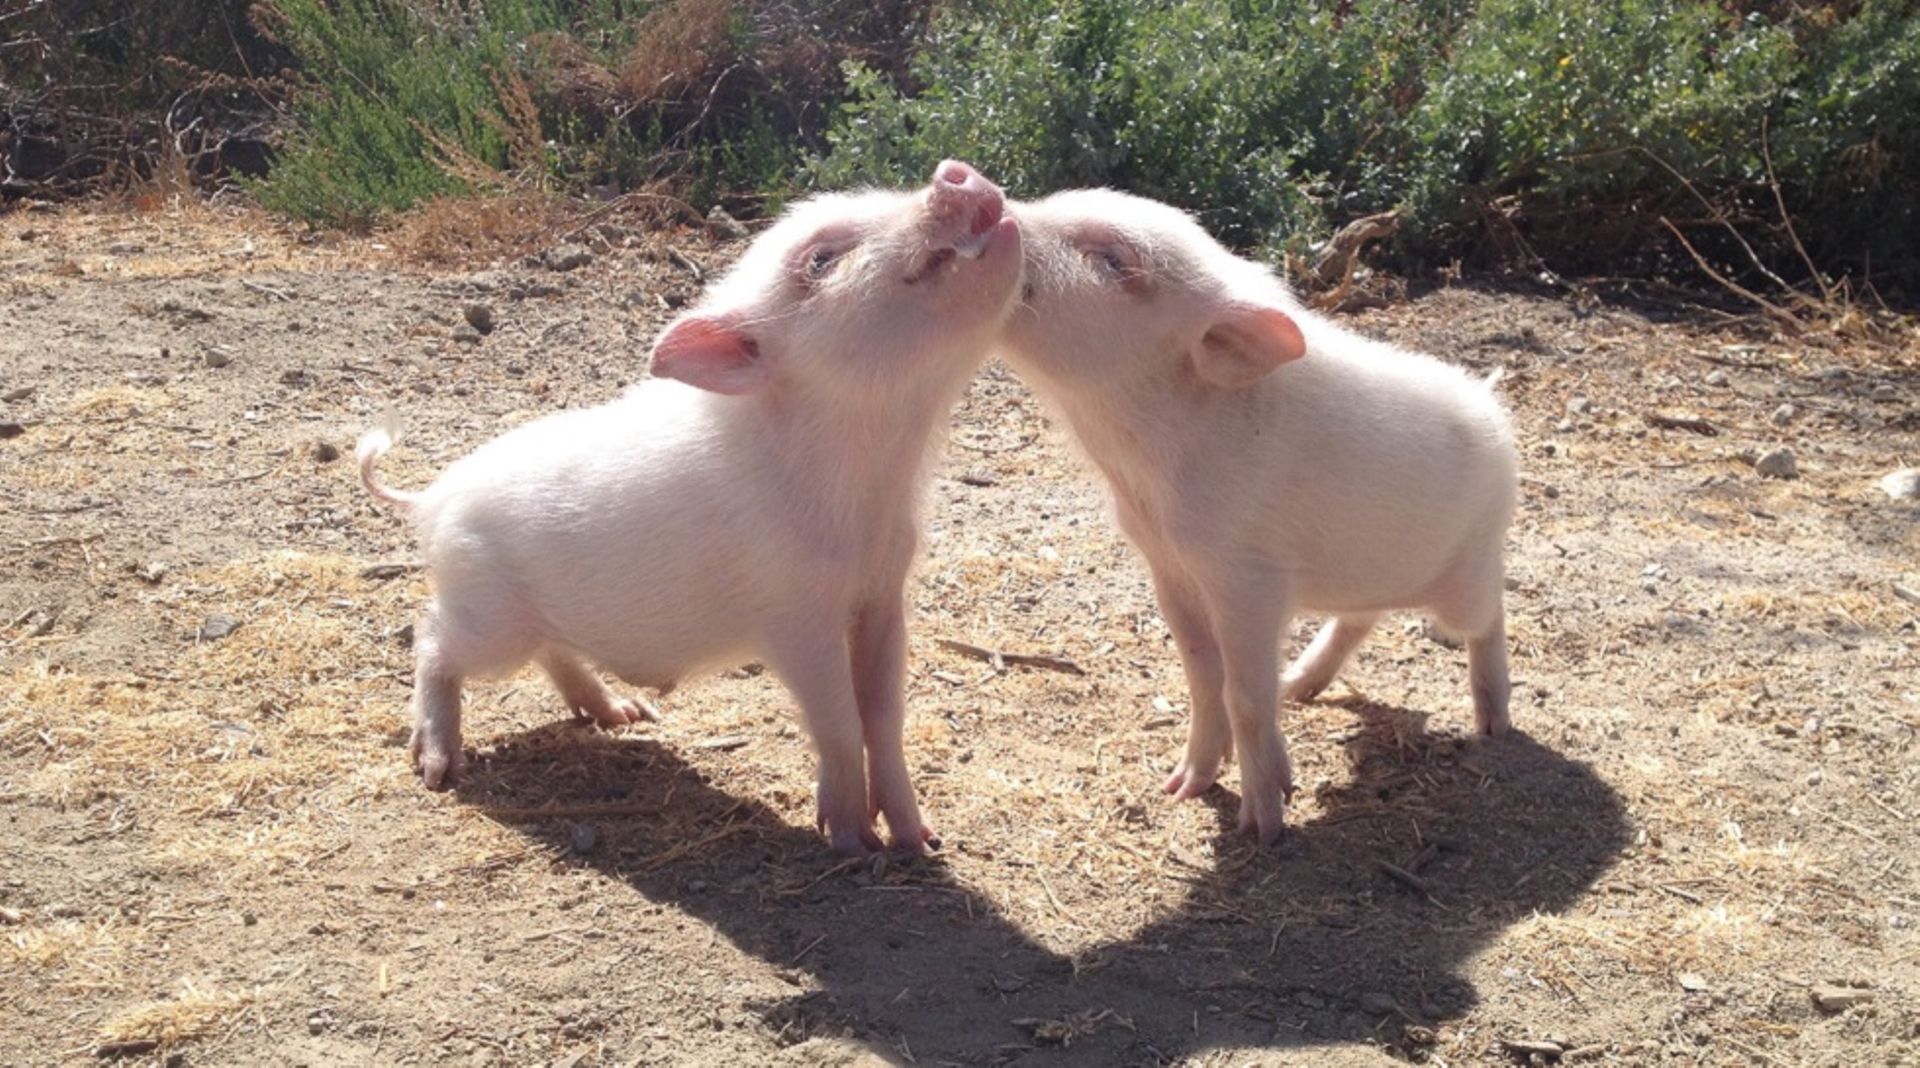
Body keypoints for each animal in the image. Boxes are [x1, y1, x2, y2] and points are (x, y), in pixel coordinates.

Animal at [356, 161, 1023, 854]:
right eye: (819, 259)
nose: (954, 172)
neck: (875, 478)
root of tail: (434, 496)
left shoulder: (883, 592)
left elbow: (885, 715)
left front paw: (921, 842)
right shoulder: (793, 615)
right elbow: (839, 719)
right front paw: (851, 842)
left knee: (552, 653)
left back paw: (627, 716)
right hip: (488, 616)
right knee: (432, 639)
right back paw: (440, 768)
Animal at [997, 189, 1517, 844]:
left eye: (1115, 260)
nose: (981, 193)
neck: (1137, 467)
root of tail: (1492, 403)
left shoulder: (1248, 577)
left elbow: (1244, 696)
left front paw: (1262, 827)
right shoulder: (1168, 564)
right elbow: (1202, 676)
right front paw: (1181, 788)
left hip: (1470, 566)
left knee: (1490, 616)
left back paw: (1493, 727)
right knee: (1361, 618)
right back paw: (1298, 687)